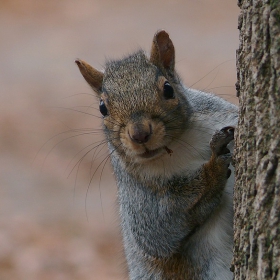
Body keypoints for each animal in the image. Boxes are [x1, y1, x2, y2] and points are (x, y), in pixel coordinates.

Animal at [75, 29, 237, 278]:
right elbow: (157, 230)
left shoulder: (223, 116)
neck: (178, 146)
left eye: (168, 89)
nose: (139, 134)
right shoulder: (136, 193)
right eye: (102, 108)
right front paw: (213, 169)